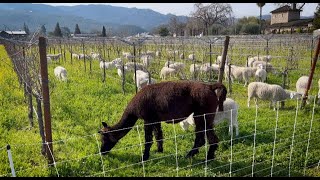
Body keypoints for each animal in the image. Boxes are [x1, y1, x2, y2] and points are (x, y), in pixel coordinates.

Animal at [98, 81, 228, 161]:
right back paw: (208, 157)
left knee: (202, 138)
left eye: (104, 139)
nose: (101, 151)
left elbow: (148, 139)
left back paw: (193, 156)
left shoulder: (148, 118)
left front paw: (144, 157)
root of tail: (210, 87)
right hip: (206, 115)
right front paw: (159, 151)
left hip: (202, 114)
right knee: (210, 138)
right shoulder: (155, 119)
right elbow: (158, 135)